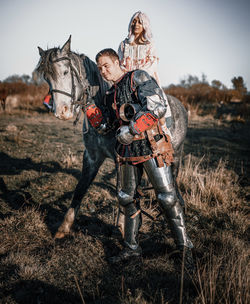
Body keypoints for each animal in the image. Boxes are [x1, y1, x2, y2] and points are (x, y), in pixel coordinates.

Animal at [36, 36, 187, 239]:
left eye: (66, 72)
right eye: (47, 78)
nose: (61, 112)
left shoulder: (119, 159)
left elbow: (121, 191)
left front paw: (122, 226)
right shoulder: (91, 157)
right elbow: (80, 188)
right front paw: (64, 227)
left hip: (175, 155)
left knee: (171, 184)